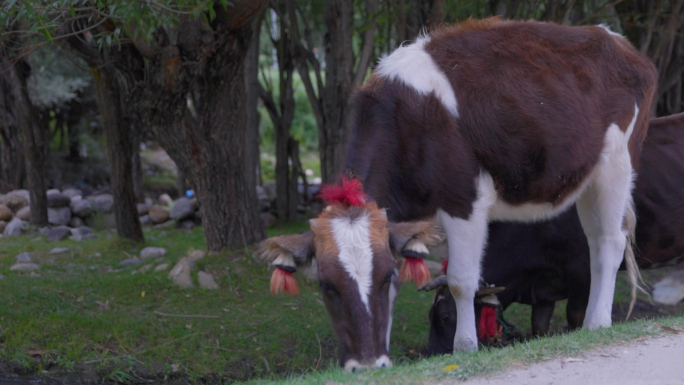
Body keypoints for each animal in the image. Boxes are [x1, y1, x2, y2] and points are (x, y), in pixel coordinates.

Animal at [348, 18, 656, 354]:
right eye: (330, 286)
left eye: (383, 278)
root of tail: (615, 39)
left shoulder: (464, 199)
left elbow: (461, 280)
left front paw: (465, 346)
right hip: (587, 179)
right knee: (595, 242)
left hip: (617, 165)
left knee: (612, 241)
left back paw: (598, 322)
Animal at [424, 112, 684, 354]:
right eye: (430, 315)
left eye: (444, 317)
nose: (435, 354)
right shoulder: (543, 294)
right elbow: (539, 328)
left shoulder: (581, 277)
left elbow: (575, 319)